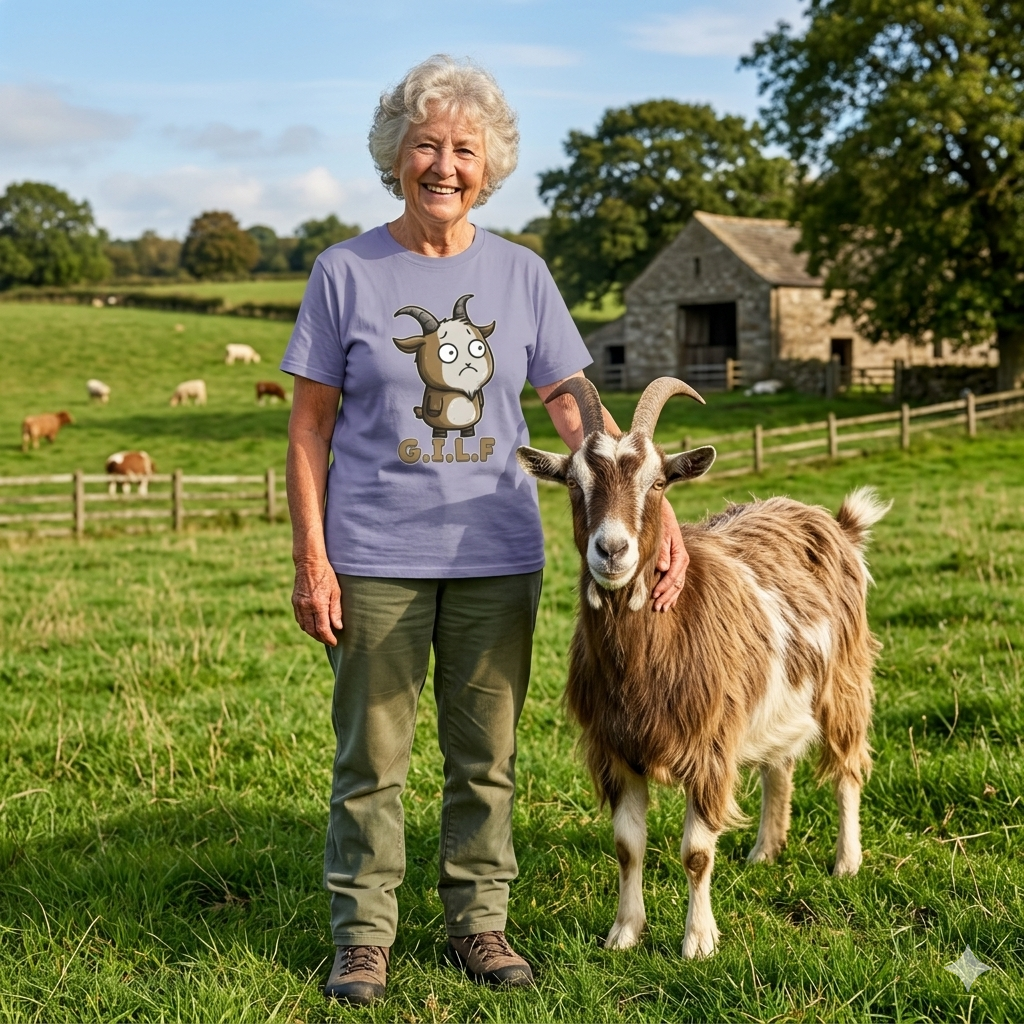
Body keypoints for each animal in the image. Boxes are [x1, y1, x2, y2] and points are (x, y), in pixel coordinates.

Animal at [516, 376, 887, 959]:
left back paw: (846, 862)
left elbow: (695, 853)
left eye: (658, 483)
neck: (647, 662)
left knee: (848, 765)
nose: (612, 550)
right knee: (779, 764)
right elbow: (627, 846)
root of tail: (836, 525)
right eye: (574, 483)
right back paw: (765, 850)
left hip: (844, 679)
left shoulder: (710, 747)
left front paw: (698, 941)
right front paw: (624, 934)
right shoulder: (615, 751)